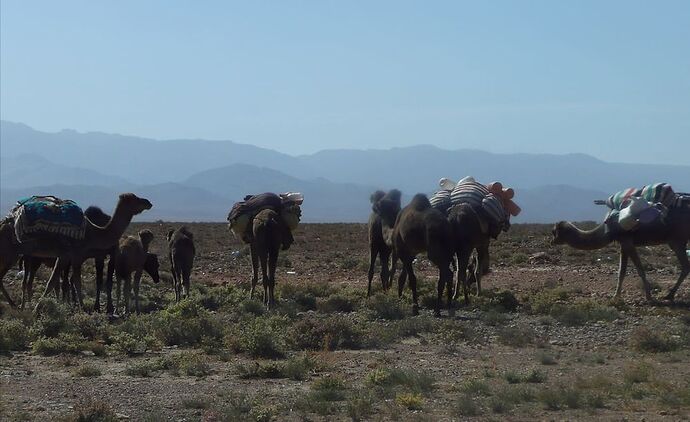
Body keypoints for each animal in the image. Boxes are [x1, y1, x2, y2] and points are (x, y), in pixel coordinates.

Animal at [0, 195, 152, 310]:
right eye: (135, 199)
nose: (148, 202)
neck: (94, 233)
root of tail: (4, 222)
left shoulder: (65, 256)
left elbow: (55, 281)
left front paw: (38, 308)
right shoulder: (76, 255)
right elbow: (75, 282)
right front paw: (82, 308)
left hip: (15, 255)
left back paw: (15, 305)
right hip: (10, 254)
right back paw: (14, 305)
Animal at [552, 203, 688, 302]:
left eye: (554, 231)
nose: (552, 241)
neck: (607, 229)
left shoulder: (627, 241)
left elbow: (640, 270)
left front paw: (649, 297)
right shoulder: (623, 244)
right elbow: (621, 272)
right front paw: (615, 296)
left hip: (677, 241)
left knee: (685, 266)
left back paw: (669, 295)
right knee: (686, 267)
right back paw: (670, 295)